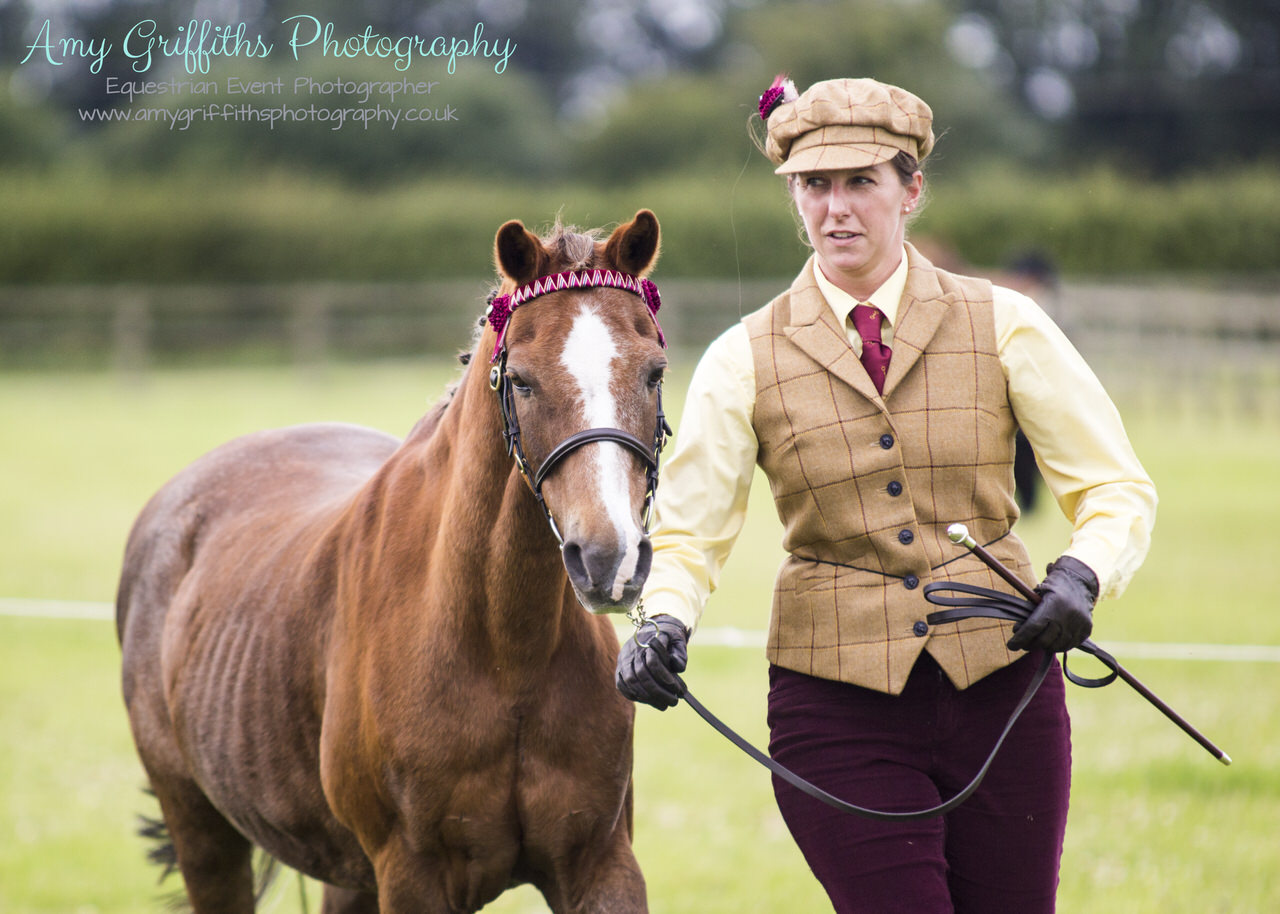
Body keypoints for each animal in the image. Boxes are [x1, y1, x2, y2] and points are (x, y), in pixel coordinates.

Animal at [116, 209, 670, 906]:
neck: (502, 652)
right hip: (204, 835)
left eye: (654, 373)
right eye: (521, 380)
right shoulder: (411, 874)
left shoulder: (600, 864)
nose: (608, 559)